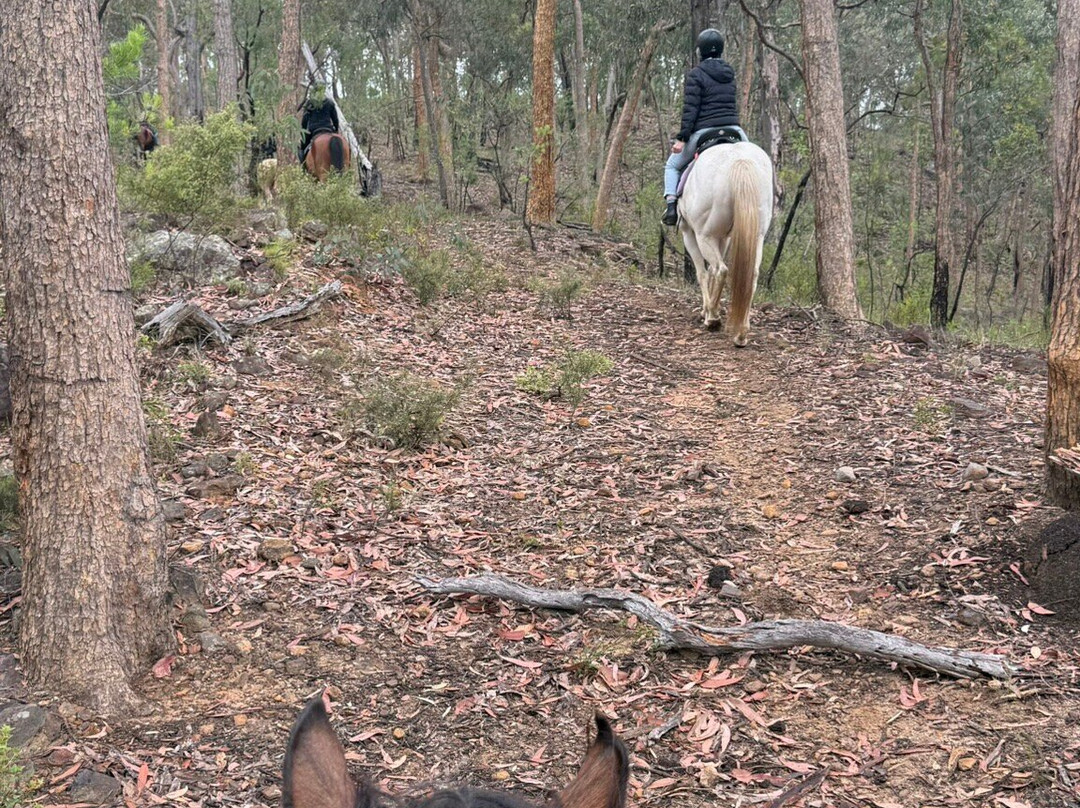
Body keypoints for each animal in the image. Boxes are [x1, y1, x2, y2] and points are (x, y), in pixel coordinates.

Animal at [678, 140, 773, 346]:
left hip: (704, 235)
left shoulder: (689, 234)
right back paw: (741, 333)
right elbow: (711, 272)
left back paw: (713, 317)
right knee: (750, 275)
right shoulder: (725, 237)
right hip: (756, 236)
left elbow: (703, 273)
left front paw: (706, 311)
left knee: (721, 270)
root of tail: (739, 160)